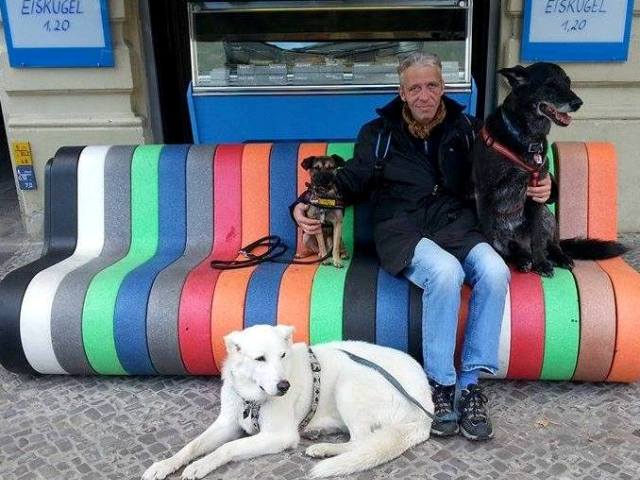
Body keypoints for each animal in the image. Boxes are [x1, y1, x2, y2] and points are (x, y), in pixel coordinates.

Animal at [142, 324, 432, 478]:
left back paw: (325, 449)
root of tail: (426, 408)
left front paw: (200, 466)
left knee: (362, 442)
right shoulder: (226, 424)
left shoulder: (279, 436)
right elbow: (191, 446)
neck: (253, 398)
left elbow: (227, 448)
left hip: (349, 382)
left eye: (282, 355)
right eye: (260, 359)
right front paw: (164, 465)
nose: (284, 386)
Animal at [472, 62, 628, 276]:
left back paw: (557, 257)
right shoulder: (486, 193)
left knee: (551, 243)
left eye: (568, 83)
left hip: (548, 215)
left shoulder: (537, 193)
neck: (526, 137)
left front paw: (541, 263)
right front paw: (501, 259)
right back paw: (522, 260)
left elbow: (537, 236)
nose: (578, 102)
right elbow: (489, 236)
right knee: (514, 249)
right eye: (550, 85)